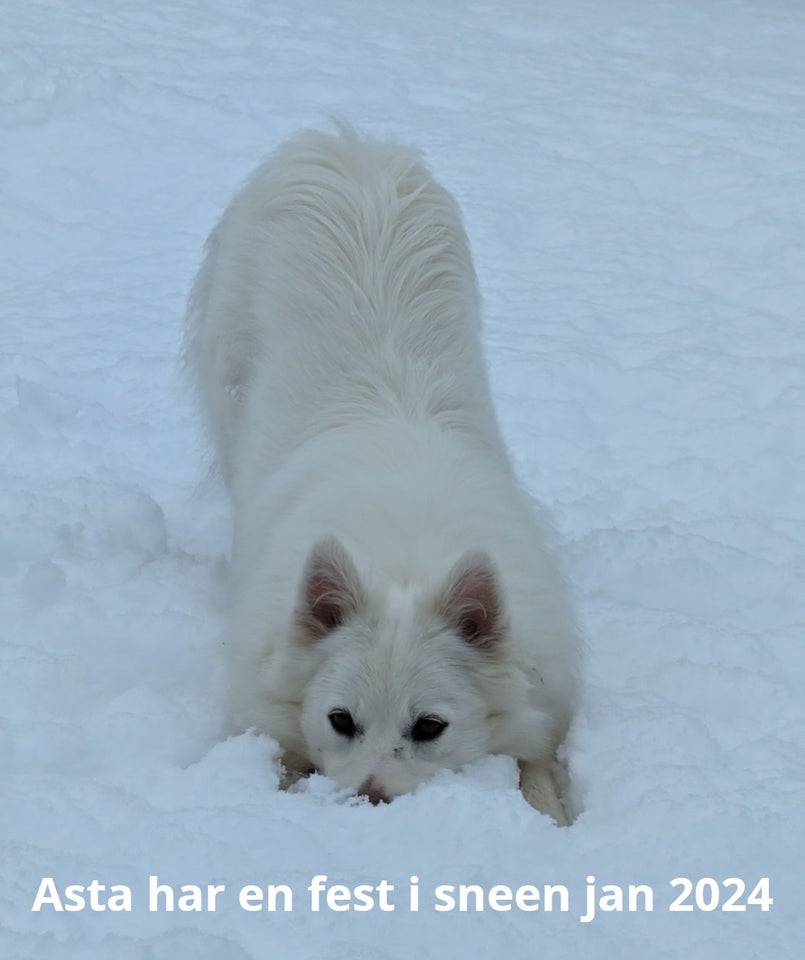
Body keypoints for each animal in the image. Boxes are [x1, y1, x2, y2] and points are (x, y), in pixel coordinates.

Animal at [186, 124, 580, 820]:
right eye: (341, 720)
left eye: (429, 727)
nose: (370, 801)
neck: (404, 557)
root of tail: (345, 145)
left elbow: (535, 768)